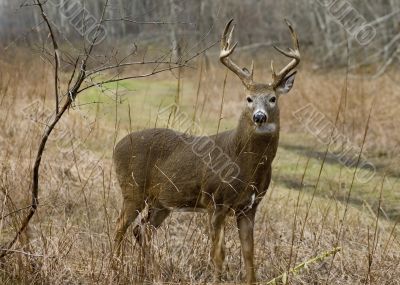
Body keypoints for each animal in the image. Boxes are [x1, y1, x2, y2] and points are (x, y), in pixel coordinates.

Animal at [112, 18, 300, 282]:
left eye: (273, 98)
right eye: (248, 98)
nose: (259, 117)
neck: (243, 164)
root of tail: (116, 146)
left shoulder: (249, 207)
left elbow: (249, 256)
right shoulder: (215, 200)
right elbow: (218, 255)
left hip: (161, 202)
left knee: (142, 230)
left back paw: (149, 272)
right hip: (132, 189)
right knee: (120, 227)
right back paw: (114, 269)